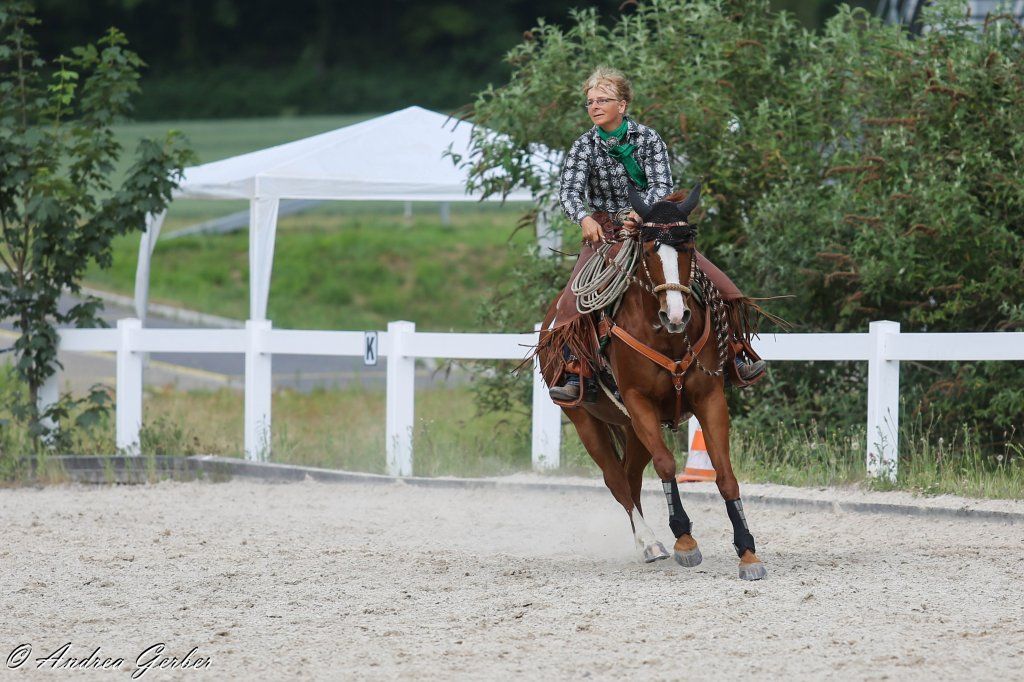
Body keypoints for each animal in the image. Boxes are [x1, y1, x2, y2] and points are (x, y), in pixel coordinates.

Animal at [538, 182, 767, 581]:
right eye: (648, 250)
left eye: (688, 247)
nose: (675, 314)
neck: (667, 337)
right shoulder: (638, 400)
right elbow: (666, 464)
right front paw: (685, 541)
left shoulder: (710, 399)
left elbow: (725, 473)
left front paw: (747, 551)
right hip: (585, 420)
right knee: (616, 480)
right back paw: (650, 543)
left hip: (630, 428)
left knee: (631, 478)